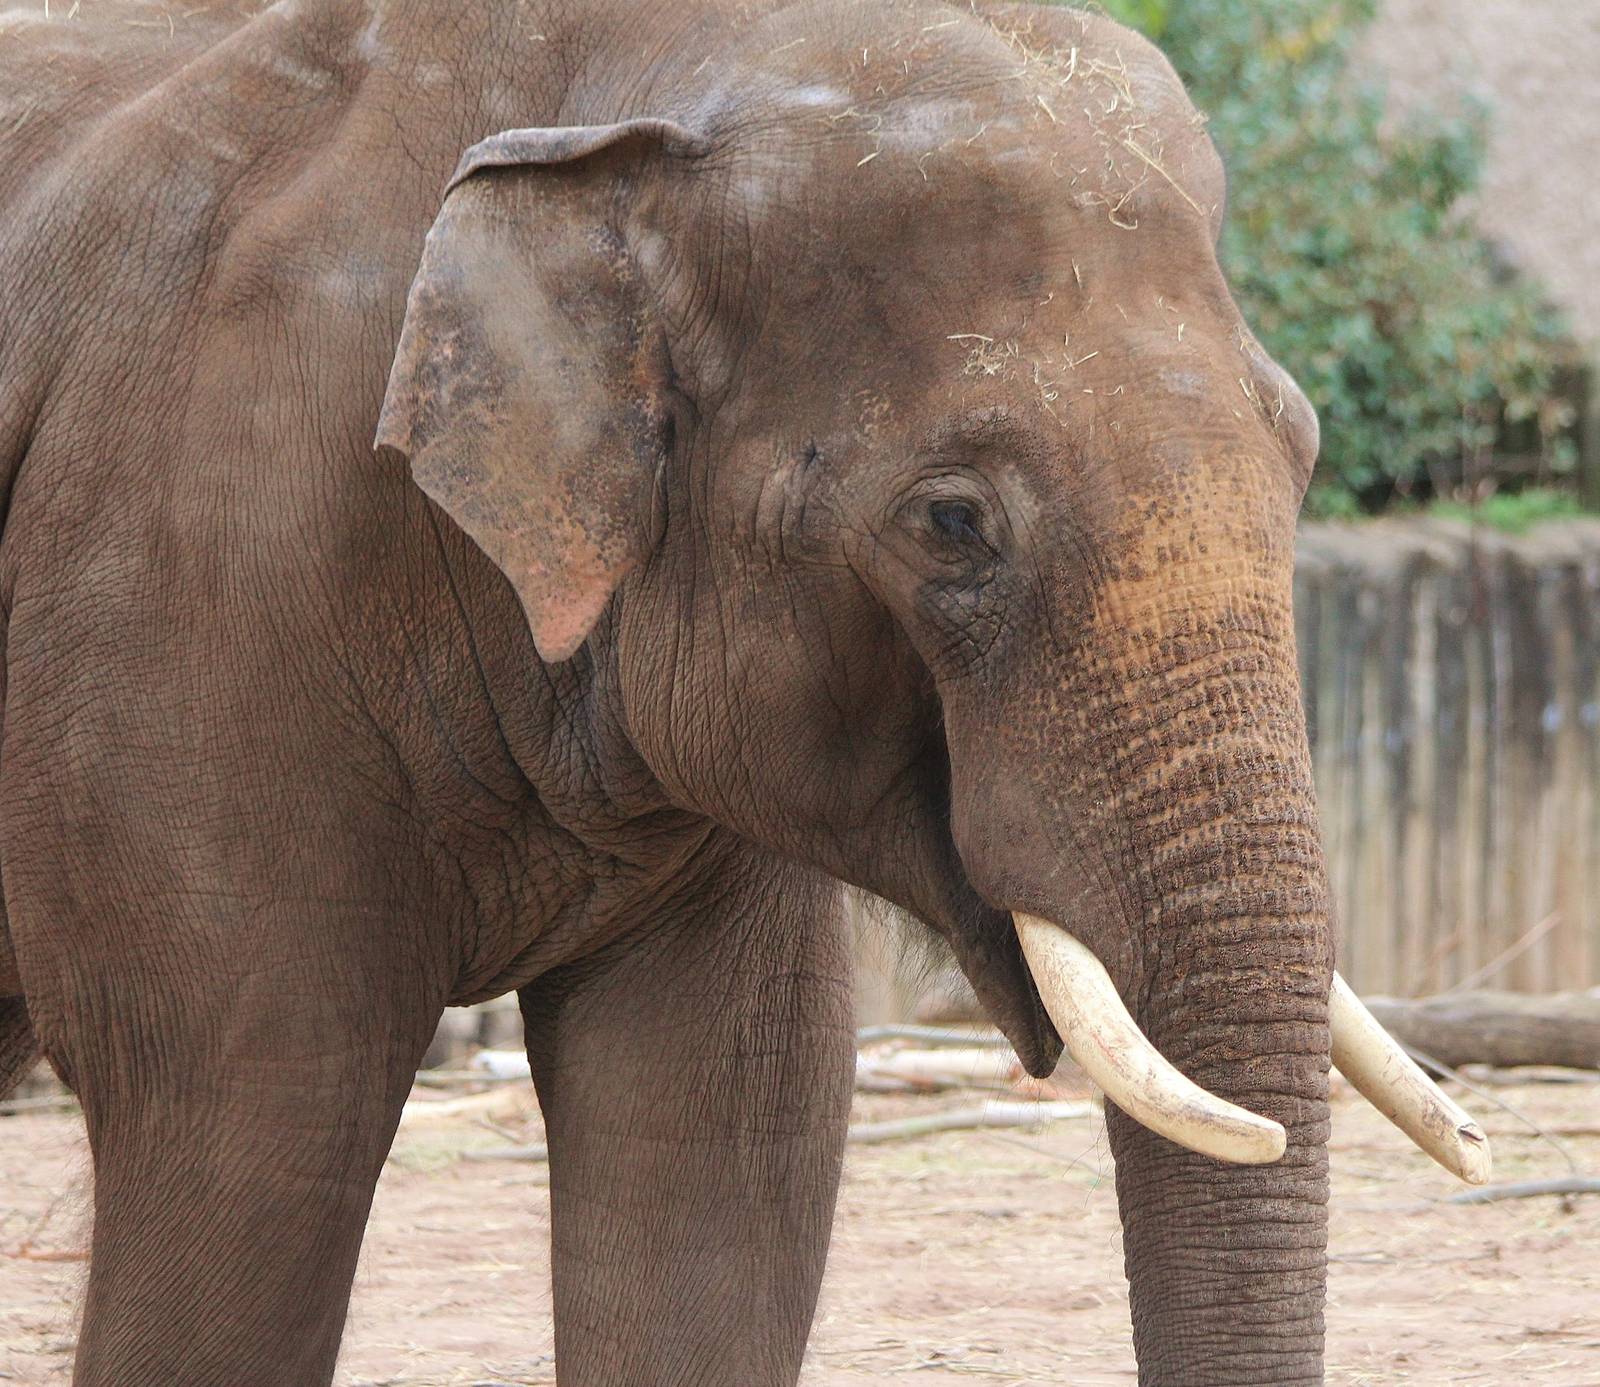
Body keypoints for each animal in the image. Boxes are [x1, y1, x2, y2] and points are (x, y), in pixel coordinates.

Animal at [0, 0, 1488, 1383]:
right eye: (953, 523)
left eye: (1303, 453)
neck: (624, 98)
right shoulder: (191, 571)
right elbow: (256, 1128)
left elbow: (720, 1134)